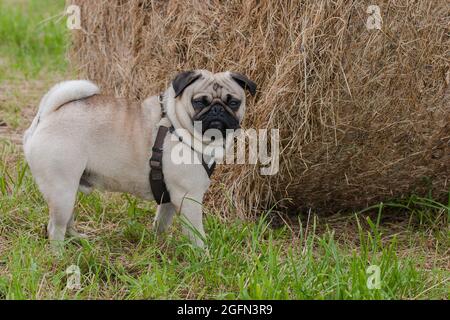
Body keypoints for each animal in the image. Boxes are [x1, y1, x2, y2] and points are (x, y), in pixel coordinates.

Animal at [22, 70, 256, 249]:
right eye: (199, 102)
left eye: (234, 102)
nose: (217, 110)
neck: (178, 126)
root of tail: (47, 114)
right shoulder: (188, 197)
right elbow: (196, 234)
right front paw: (203, 257)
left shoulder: (169, 198)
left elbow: (161, 223)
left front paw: (158, 246)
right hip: (62, 190)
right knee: (55, 227)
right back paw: (59, 255)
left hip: (69, 191)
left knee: (67, 221)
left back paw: (77, 240)